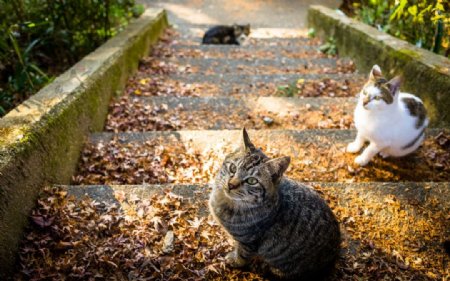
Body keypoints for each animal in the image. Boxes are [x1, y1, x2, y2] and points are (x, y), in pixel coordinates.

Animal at [209, 129, 340, 278]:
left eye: (252, 181)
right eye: (232, 168)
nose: (231, 185)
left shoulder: (249, 243)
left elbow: (242, 256)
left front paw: (233, 260)